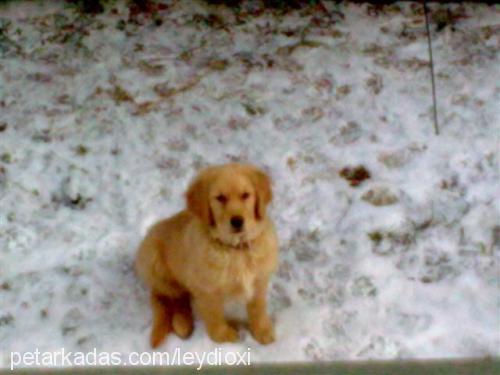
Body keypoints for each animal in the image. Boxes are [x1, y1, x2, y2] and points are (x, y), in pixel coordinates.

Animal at [135, 163, 280, 348]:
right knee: (167, 296)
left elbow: (258, 307)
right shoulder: (206, 289)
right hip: (154, 261)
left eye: (245, 195)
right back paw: (182, 322)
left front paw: (262, 331)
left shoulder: (259, 280)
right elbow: (214, 315)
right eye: (220, 198)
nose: (237, 221)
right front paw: (224, 336)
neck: (235, 248)